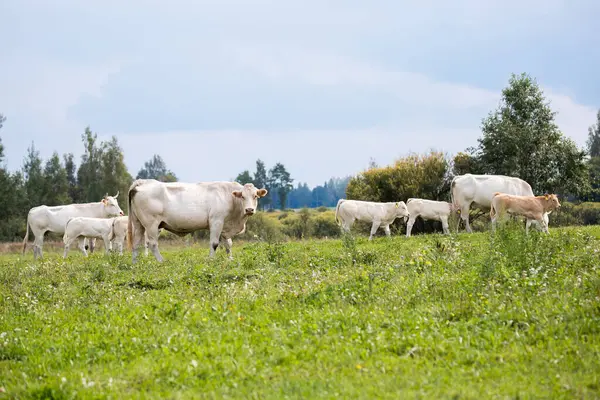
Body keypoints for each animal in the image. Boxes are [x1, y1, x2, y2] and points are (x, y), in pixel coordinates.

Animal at [126, 179, 268, 262]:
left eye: (255, 196)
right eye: (242, 196)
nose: (249, 209)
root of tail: (142, 182)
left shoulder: (225, 226)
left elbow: (228, 244)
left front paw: (230, 259)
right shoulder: (216, 221)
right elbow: (214, 243)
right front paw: (211, 260)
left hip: (138, 224)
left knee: (136, 244)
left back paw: (135, 264)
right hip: (151, 224)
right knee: (152, 244)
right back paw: (162, 261)